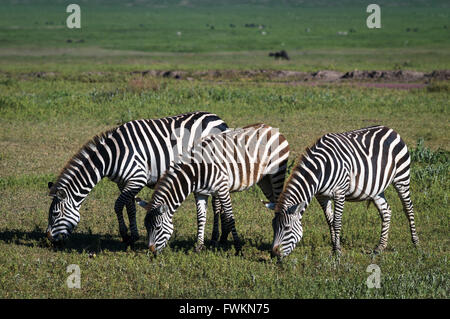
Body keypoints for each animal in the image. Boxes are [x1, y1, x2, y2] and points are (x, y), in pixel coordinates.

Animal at [46, 111, 229, 246]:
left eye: (55, 214)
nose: (48, 239)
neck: (113, 155)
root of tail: (219, 119)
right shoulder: (124, 183)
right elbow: (130, 207)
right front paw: (133, 235)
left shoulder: (137, 179)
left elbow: (118, 205)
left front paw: (125, 235)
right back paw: (220, 236)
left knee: (217, 204)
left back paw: (216, 237)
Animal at [137, 123, 290, 255]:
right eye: (146, 227)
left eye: (157, 228)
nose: (151, 251)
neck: (196, 172)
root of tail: (271, 128)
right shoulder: (200, 193)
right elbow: (201, 218)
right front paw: (199, 247)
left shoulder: (222, 189)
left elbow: (230, 218)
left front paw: (238, 248)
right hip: (265, 181)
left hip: (276, 174)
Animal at [272, 126, 420, 258]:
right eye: (273, 227)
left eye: (287, 228)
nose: (273, 253)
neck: (321, 171)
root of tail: (391, 130)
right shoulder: (322, 196)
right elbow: (329, 222)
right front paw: (334, 248)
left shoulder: (339, 192)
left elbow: (337, 222)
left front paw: (338, 252)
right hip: (377, 187)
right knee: (386, 211)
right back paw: (380, 247)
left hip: (401, 177)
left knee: (408, 208)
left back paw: (416, 243)